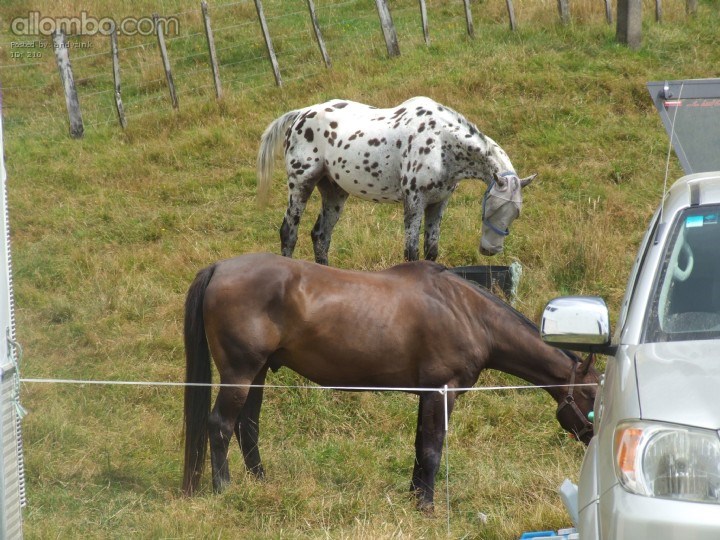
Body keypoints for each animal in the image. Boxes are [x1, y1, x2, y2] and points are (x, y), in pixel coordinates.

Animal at [182, 253, 598, 511]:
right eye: (590, 392)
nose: (594, 438)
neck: (466, 312)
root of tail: (219, 268)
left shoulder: (427, 394)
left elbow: (420, 446)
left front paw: (415, 496)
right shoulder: (442, 392)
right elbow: (432, 449)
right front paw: (427, 505)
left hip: (259, 373)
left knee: (248, 427)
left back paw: (261, 482)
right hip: (240, 373)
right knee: (221, 425)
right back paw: (224, 488)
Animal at [257, 96, 536, 265]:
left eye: (516, 213)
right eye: (494, 207)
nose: (490, 250)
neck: (440, 143)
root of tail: (300, 114)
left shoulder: (438, 203)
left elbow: (431, 251)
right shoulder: (414, 202)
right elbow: (411, 252)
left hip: (334, 192)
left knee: (321, 236)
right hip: (301, 184)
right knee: (289, 233)